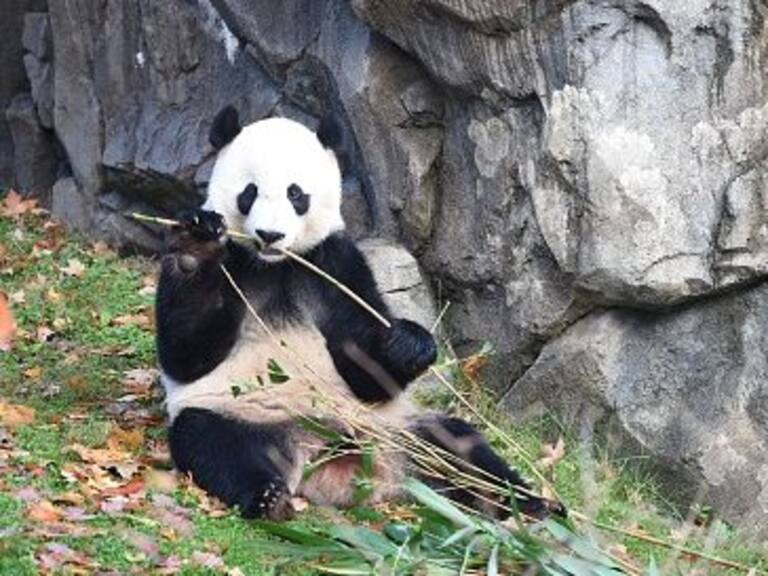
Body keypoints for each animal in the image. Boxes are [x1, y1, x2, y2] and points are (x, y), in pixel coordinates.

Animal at [155, 106, 558, 521]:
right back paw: (269, 497)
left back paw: (526, 502)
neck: (275, 266)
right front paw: (195, 249)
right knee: (212, 442)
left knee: (459, 446)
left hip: (396, 427)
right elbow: (186, 354)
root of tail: (332, 461)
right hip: (243, 413)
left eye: (296, 194)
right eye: (248, 193)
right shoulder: (234, 266)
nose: (270, 235)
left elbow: (366, 367)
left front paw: (408, 343)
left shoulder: (336, 264)